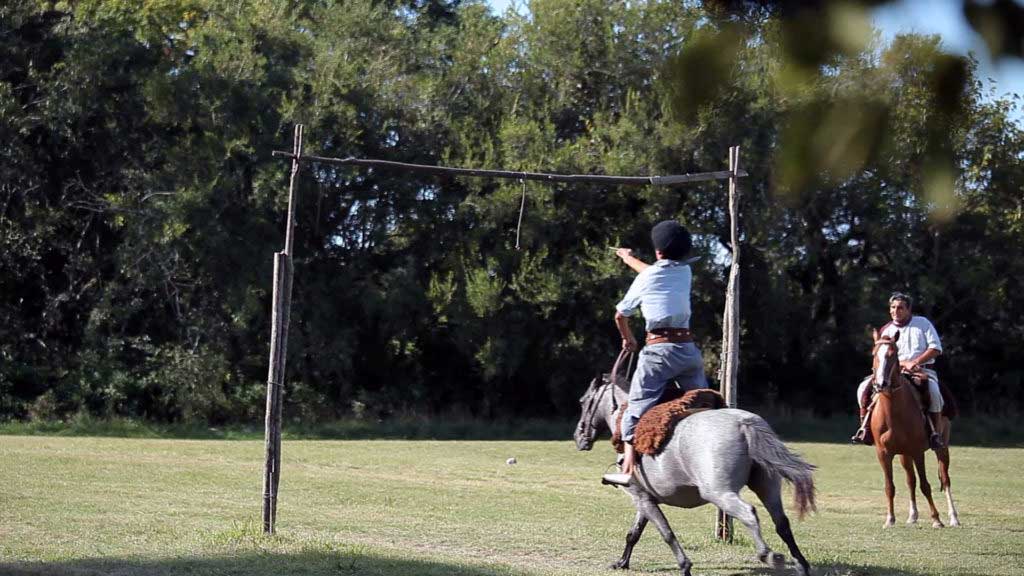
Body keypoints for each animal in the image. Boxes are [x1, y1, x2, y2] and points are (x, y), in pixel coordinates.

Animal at [577, 373, 815, 573]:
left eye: (583, 402)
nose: (579, 437)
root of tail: (744, 423)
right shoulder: (646, 498)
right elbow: (634, 533)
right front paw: (621, 563)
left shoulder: (640, 498)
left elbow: (666, 533)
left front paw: (684, 566)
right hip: (767, 488)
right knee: (782, 523)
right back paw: (801, 565)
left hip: (719, 493)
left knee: (749, 513)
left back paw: (768, 555)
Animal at [864, 330, 958, 528]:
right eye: (874, 354)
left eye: (893, 355)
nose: (881, 384)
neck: (893, 412)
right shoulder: (884, 453)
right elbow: (890, 486)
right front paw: (890, 519)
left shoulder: (917, 451)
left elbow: (925, 485)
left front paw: (936, 519)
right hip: (904, 455)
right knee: (910, 481)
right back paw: (912, 516)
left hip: (942, 447)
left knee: (945, 479)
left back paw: (954, 517)